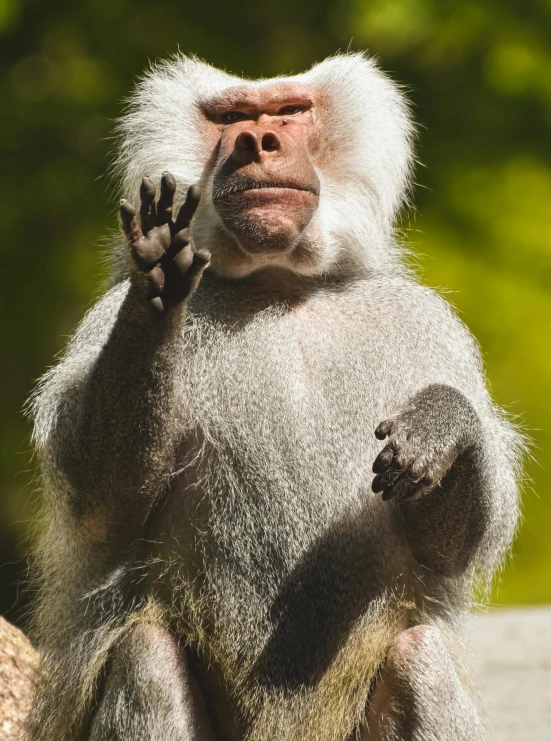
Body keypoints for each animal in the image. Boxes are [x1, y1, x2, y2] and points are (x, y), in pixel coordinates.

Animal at [25, 53, 524, 740]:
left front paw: (443, 426)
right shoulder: (101, 323)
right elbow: (105, 502)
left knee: (419, 657)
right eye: (233, 116)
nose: (256, 142)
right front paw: (159, 281)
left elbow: (451, 546)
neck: (279, 285)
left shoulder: (429, 328)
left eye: (288, 111)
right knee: (146, 655)